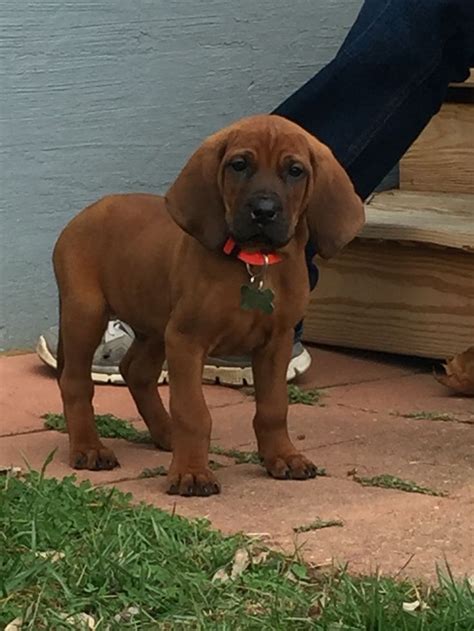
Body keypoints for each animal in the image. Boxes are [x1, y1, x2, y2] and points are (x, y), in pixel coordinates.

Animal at [53, 115, 362, 498]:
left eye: (295, 171)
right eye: (239, 165)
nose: (264, 211)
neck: (254, 262)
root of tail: (85, 213)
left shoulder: (276, 342)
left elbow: (274, 407)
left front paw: (283, 456)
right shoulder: (187, 340)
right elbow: (193, 412)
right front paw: (191, 472)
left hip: (156, 325)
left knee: (136, 371)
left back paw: (166, 434)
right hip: (87, 313)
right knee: (75, 381)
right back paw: (89, 447)